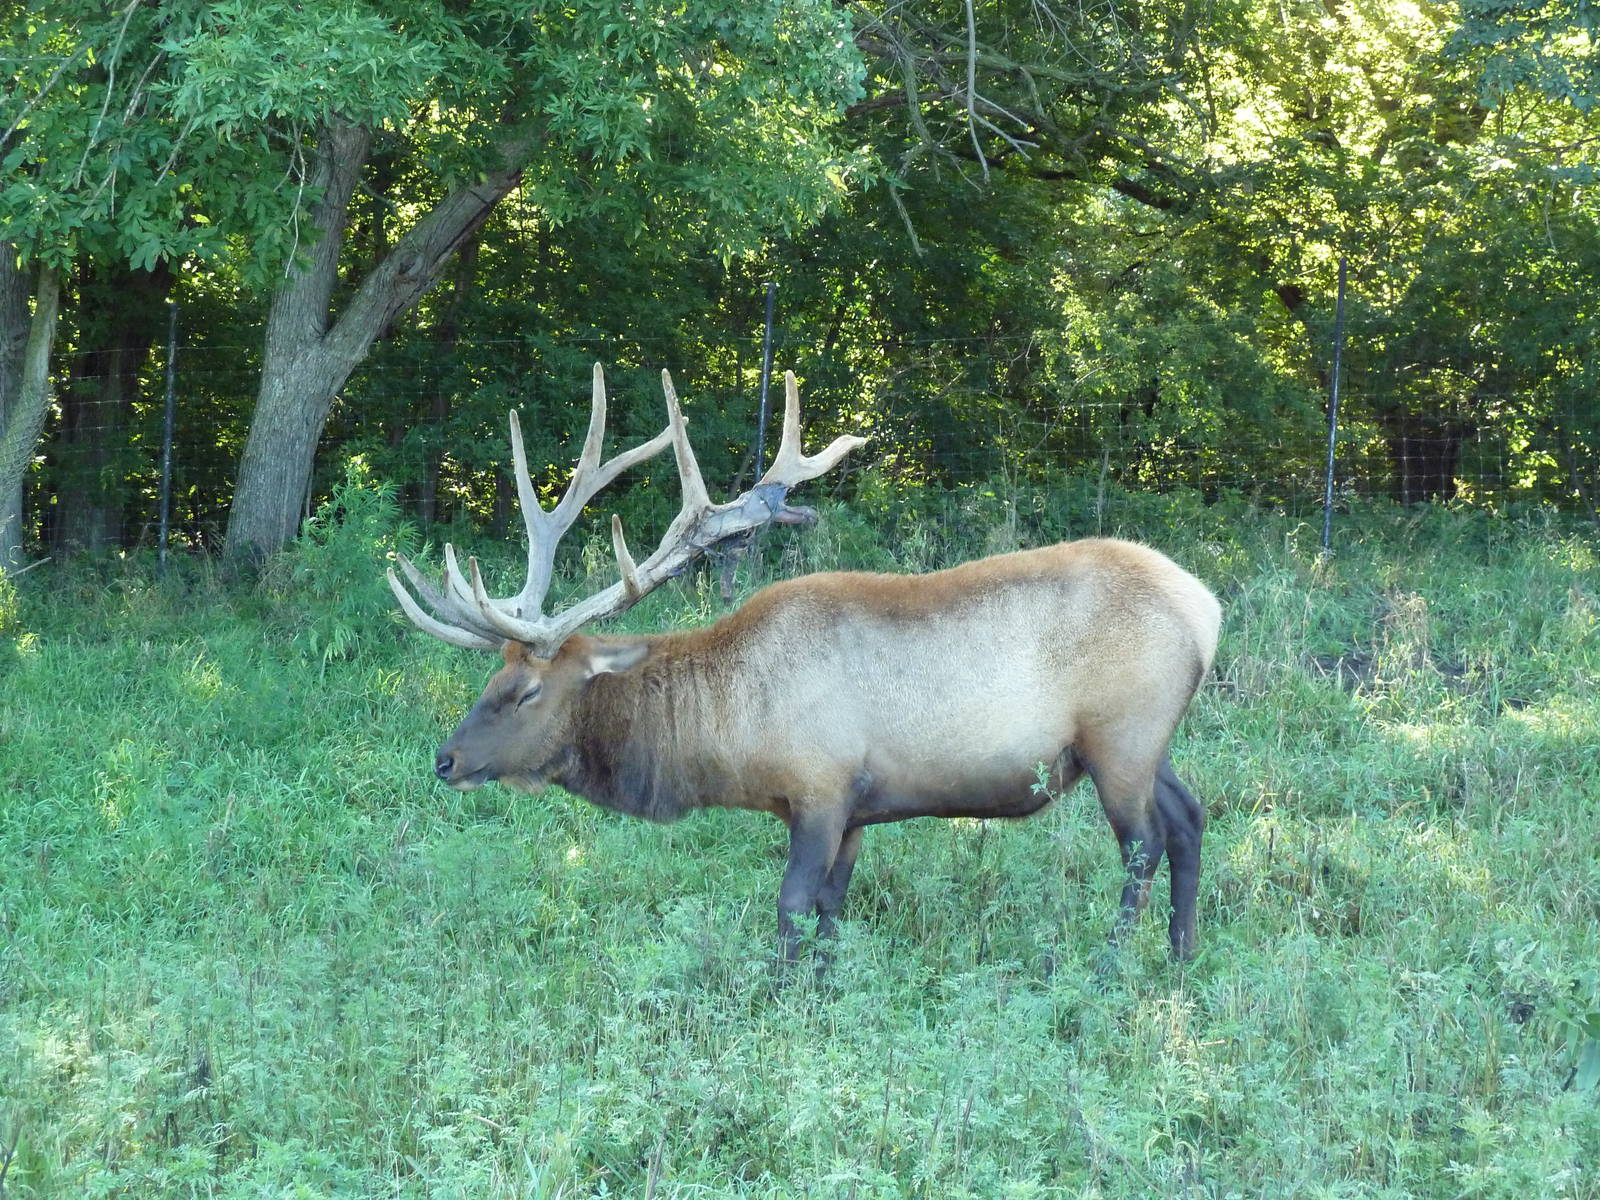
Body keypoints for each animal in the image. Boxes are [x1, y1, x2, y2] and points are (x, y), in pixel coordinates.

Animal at [389, 365, 1221, 964]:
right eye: (489, 678)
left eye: (524, 690)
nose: (444, 759)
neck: (728, 740)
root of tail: (1208, 610)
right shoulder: (857, 806)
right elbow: (832, 908)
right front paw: (826, 983)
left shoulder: (821, 785)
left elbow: (791, 904)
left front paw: (781, 999)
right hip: (1145, 743)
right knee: (1189, 817)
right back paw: (1181, 957)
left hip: (1121, 735)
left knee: (1142, 846)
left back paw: (1113, 967)